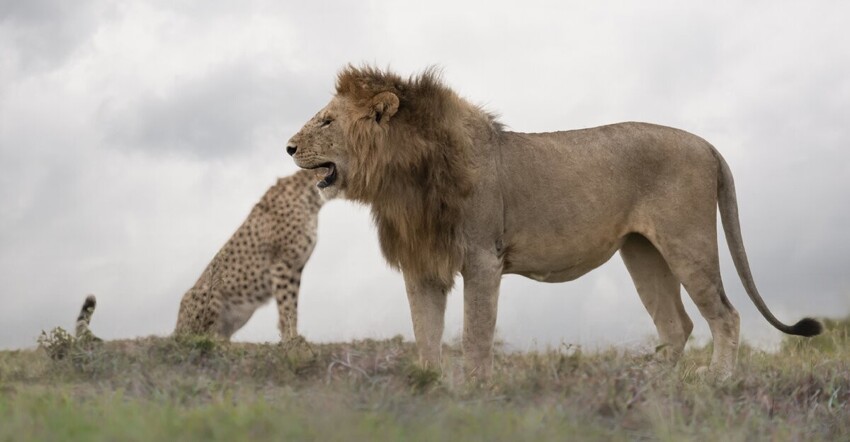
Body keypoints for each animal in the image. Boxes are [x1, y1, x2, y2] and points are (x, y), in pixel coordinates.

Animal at [76, 170, 322, 342]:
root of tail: (177, 327)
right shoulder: (283, 264)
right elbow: (288, 307)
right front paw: (292, 339)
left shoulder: (295, 268)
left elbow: (291, 306)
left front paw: (291, 337)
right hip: (208, 294)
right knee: (201, 335)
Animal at [286, 65, 820, 380]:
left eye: (327, 121)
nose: (288, 147)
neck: (403, 178)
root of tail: (707, 144)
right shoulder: (423, 268)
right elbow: (426, 334)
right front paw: (429, 384)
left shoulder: (483, 258)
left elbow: (475, 334)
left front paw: (474, 391)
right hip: (641, 252)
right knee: (677, 325)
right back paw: (651, 384)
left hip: (687, 243)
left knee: (725, 315)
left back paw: (717, 382)